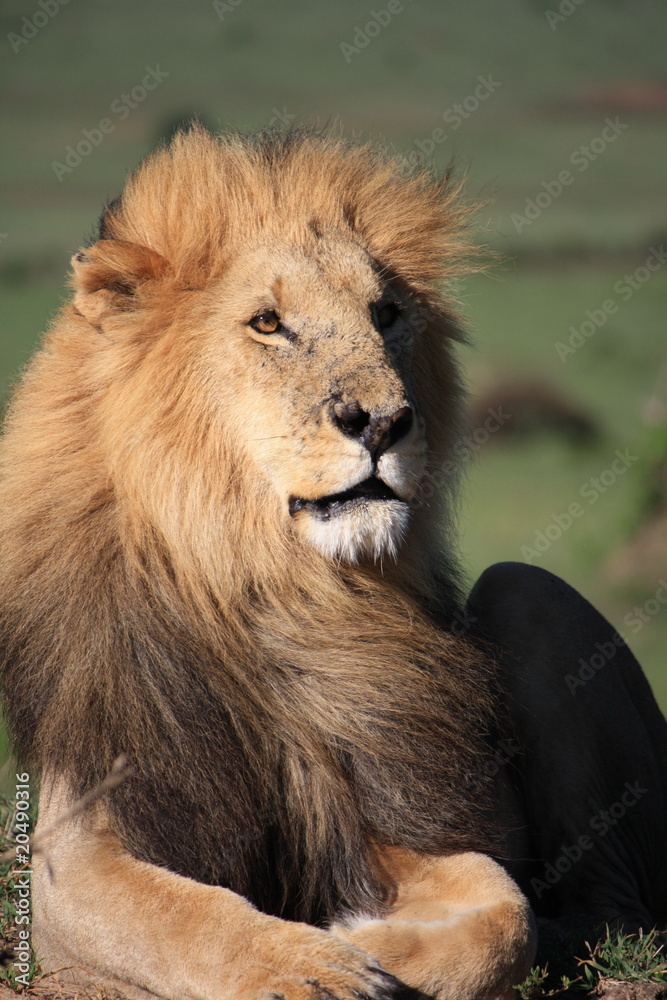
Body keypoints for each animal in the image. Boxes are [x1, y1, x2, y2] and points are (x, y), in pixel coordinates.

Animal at [0, 127, 664, 1000]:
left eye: (385, 315)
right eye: (266, 323)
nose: (382, 421)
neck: (277, 584)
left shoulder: (396, 803)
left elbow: (503, 914)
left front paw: (364, 937)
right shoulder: (78, 849)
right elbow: (184, 919)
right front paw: (310, 966)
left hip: (533, 593)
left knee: (609, 903)